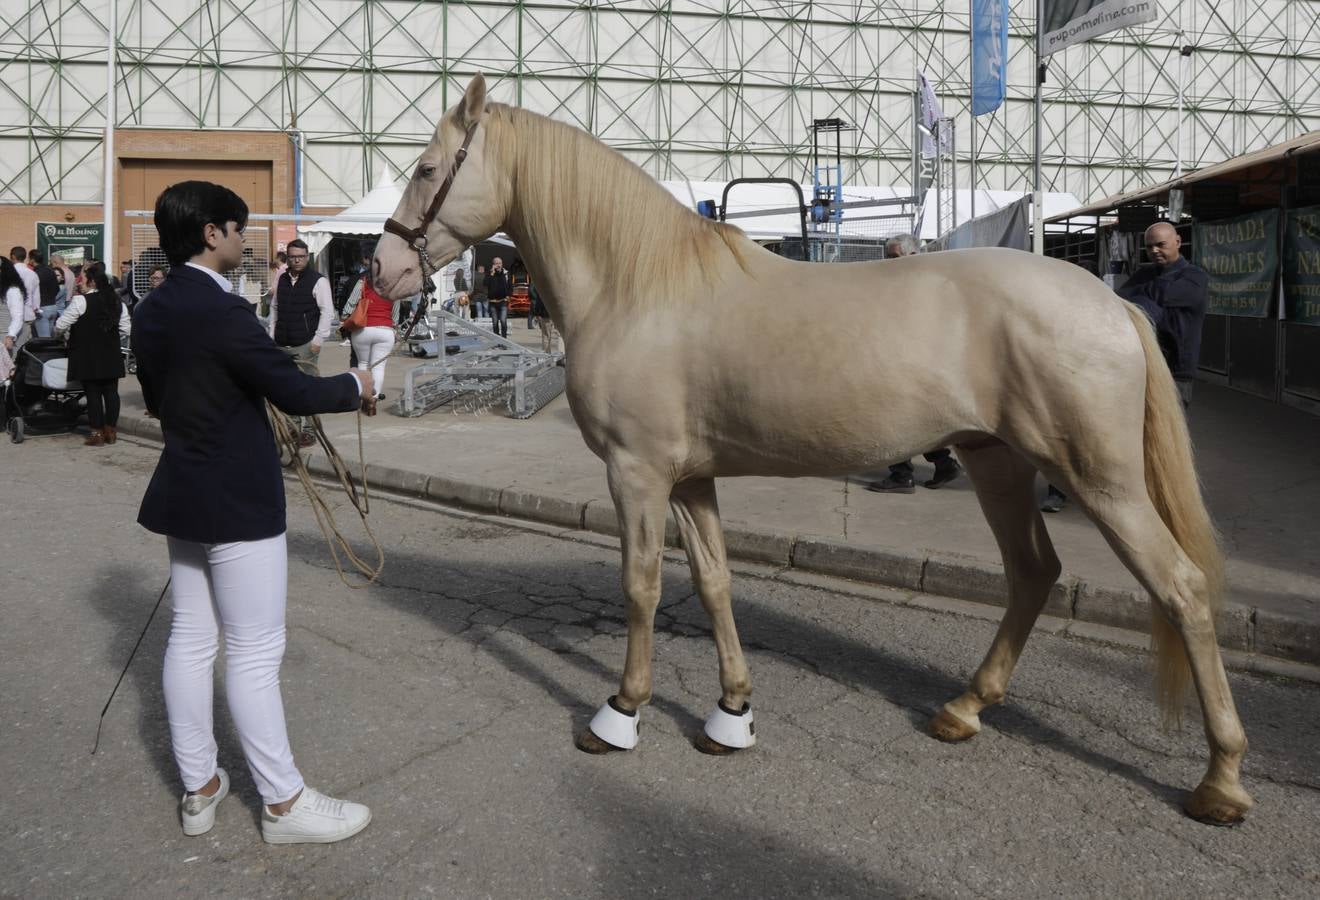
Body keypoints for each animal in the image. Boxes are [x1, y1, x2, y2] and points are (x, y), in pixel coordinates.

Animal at [372, 73, 1252, 826]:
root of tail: (1111, 302)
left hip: (1100, 481)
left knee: (1180, 588)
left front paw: (620, 713)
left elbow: (641, 587)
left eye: (426, 168)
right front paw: (731, 713)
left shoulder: (637, 473)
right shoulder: (689, 479)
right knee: (1035, 573)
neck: (641, 285)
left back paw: (1221, 779)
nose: (383, 270)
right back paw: (964, 709)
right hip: (995, 460)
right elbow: (715, 584)